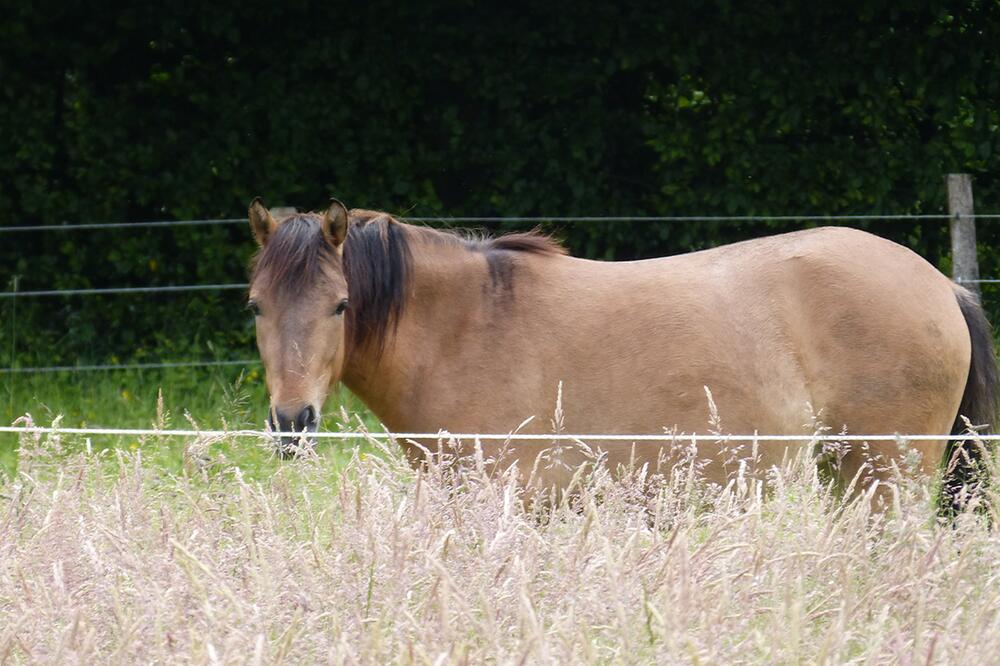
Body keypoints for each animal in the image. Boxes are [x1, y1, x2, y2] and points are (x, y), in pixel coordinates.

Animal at [246, 198, 996, 508]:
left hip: (884, 472)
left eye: (340, 306)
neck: (468, 326)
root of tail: (943, 286)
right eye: (256, 306)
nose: (292, 423)